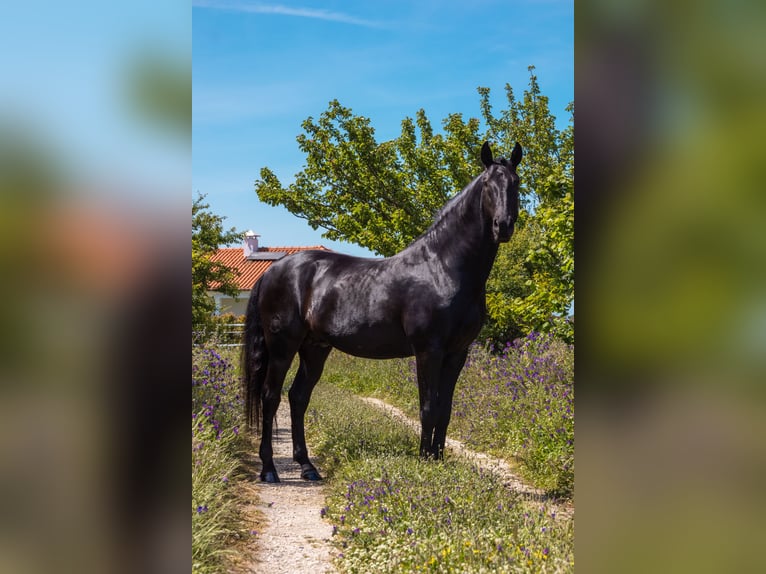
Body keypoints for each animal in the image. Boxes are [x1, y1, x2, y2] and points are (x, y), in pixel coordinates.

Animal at [243, 142, 524, 484]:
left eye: (516, 183)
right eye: (487, 185)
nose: (503, 226)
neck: (443, 267)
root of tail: (272, 271)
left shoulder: (457, 353)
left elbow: (445, 410)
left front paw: (438, 459)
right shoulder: (428, 350)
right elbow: (428, 407)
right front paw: (424, 462)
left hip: (315, 348)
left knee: (298, 398)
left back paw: (308, 467)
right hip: (283, 346)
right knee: (271, 397)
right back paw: (269, 469)